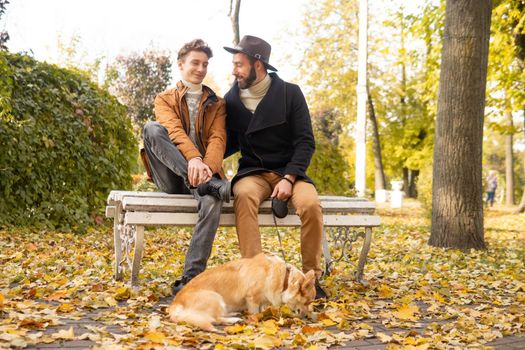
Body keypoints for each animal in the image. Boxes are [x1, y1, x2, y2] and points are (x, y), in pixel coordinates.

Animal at [168, 254, 316, 330]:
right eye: (307, 302)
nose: (308, 316)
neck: (285, 279)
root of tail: (175, 304)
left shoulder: (262, 301)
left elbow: (262, 309)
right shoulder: (252, 299)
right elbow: (255, 313)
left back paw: (233, 314)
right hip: (216, 297)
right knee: (215, 319)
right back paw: (234, 319)